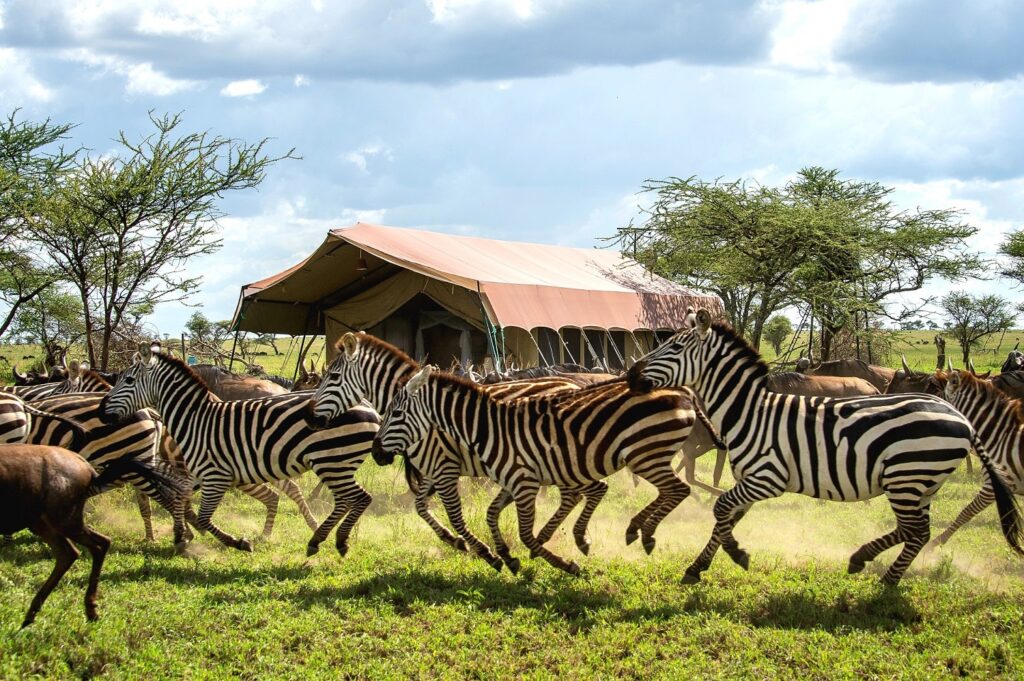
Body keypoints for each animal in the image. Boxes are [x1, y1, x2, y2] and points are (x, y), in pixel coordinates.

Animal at [98, 342, 380, 557]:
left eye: (128, 380)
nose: (101, 412)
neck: (195, 419)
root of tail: (368, 405)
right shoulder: (196, 473)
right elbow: (180, 498)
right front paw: (180, 537)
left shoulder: (215, 475)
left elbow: (204, 518)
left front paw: (238, 542)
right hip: (333, 463)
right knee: (345, 499)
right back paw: (319, 537)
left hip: (331, 461)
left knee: (359, 497)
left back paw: (333, 540)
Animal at [311, 331, 610, 569]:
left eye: (333, 377)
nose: (312, 417)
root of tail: (572, 382)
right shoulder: (433, 470)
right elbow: (421, 507)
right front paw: (454, 541)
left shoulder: (444, 467)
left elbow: (453, 515)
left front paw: (485, 553)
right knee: (574, 495)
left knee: (577, 493)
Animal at [372, 366, 692, 573]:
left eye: (395, 413)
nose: (375, 453)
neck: (487, 429)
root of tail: (678, 388)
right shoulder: (513, 481)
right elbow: (491, 514)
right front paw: (508, 557)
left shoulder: (520, 483)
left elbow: (521, 532)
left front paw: (563, 565)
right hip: (625, 459)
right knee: (657, 491)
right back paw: (624, 531)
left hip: (644, 455)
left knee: (679, 489)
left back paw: (643, 533)